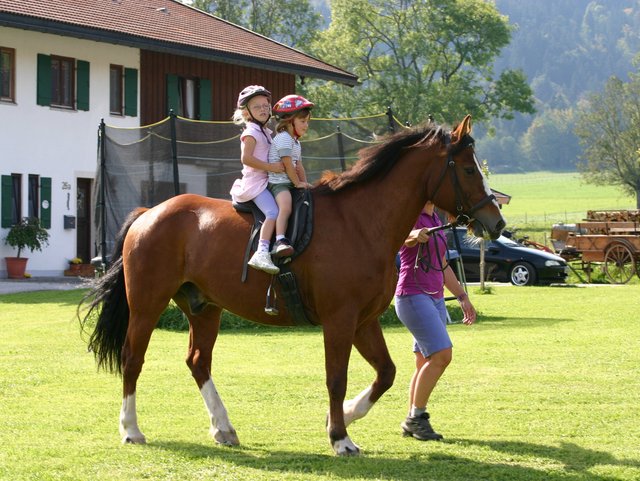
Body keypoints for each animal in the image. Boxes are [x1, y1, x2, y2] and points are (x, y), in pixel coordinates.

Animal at [79, 114, 504, 452]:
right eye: (468, 170)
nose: (496, 223)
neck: (361, 221)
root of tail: (150, 212)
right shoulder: (340, 321)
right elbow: (337, 378)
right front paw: (340, 437)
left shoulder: (364, 321)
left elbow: (386, 373)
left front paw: (346, 415)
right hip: (147, 304)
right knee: (132, 358)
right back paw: (131, 429)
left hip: (204, 308)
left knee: (198, 361)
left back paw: (224, 428)